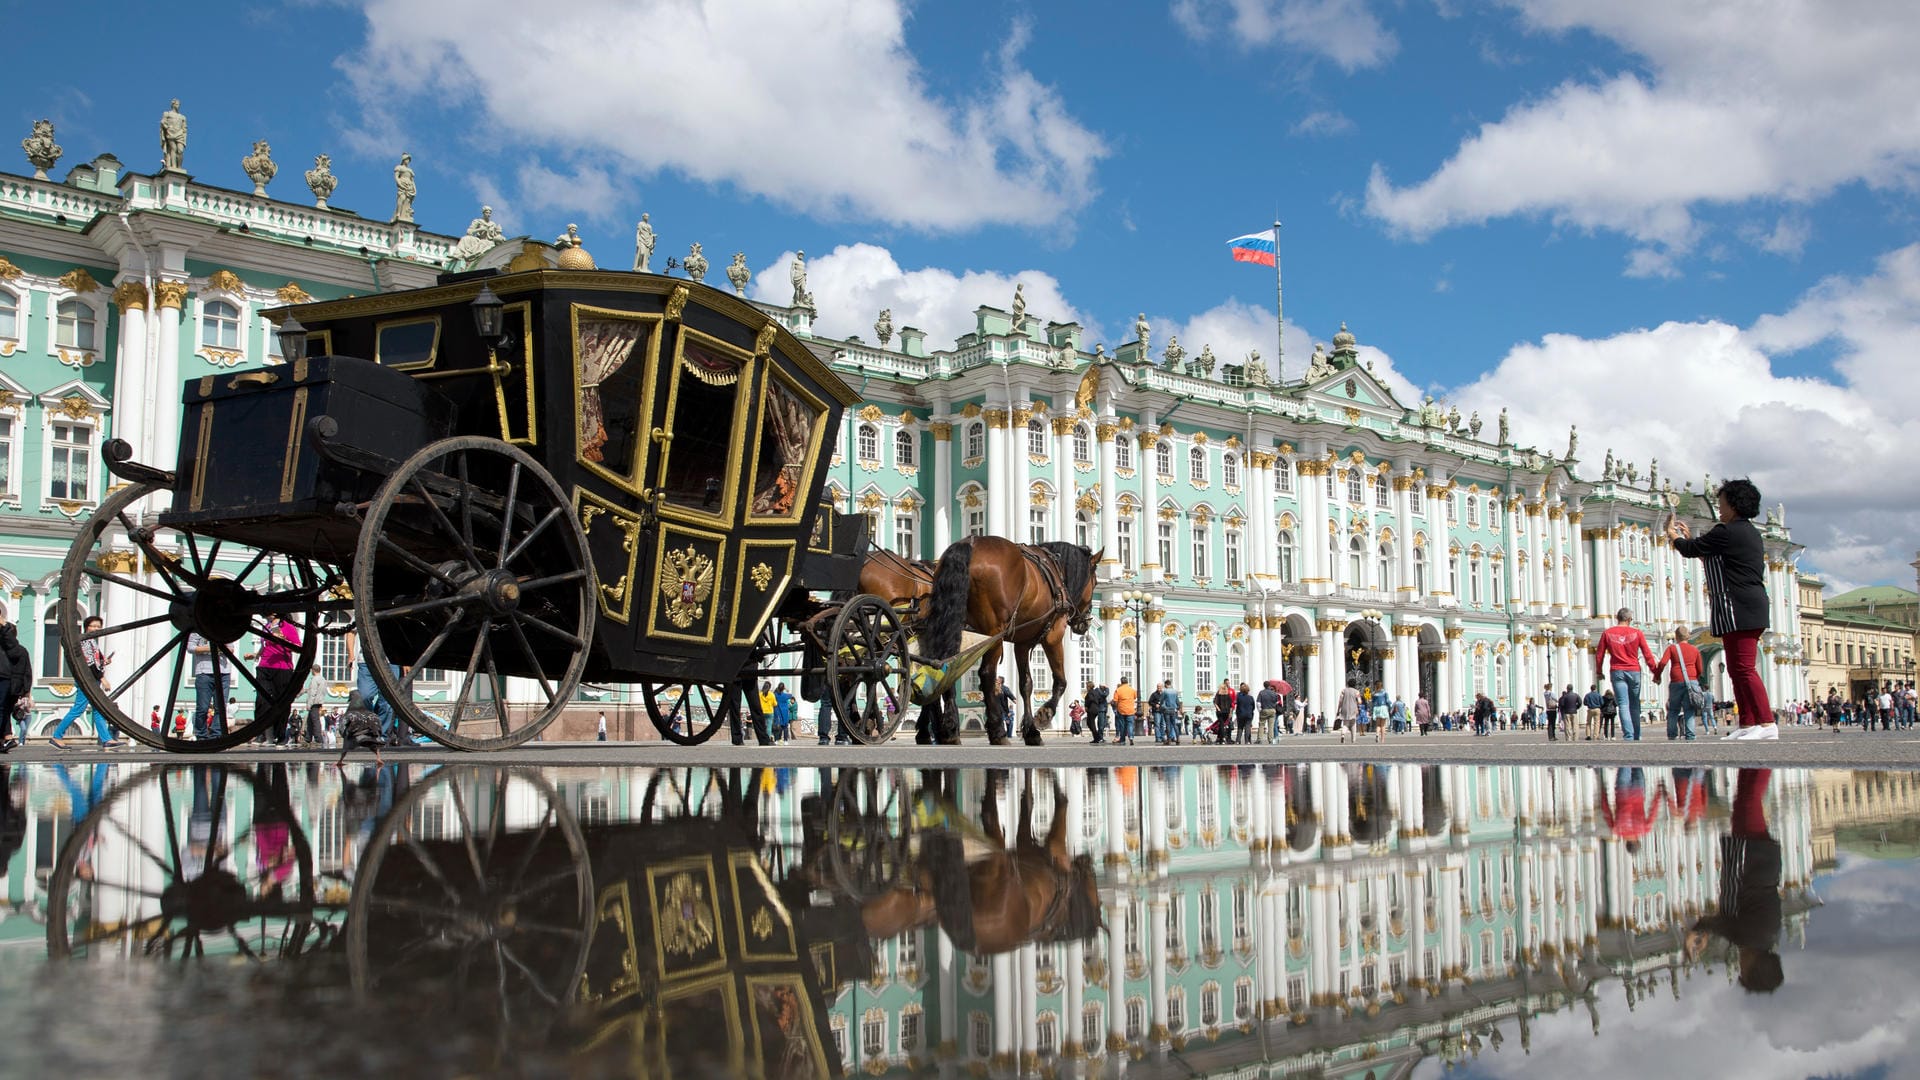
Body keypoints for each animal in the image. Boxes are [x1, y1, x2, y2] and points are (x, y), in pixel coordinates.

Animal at [917, 534, 1098, 737]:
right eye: (1095, 582)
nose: (1085, 623)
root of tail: (970, 543)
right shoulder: (1053, 636)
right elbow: (1060, 680)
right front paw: (1044, 715)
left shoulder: (1022, 643)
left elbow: (1026, 684)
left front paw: (1029, 729)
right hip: (993, 633)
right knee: (986, 674)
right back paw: (995, 728)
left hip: (954, 624)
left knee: (944, 664)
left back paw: (948, 726)